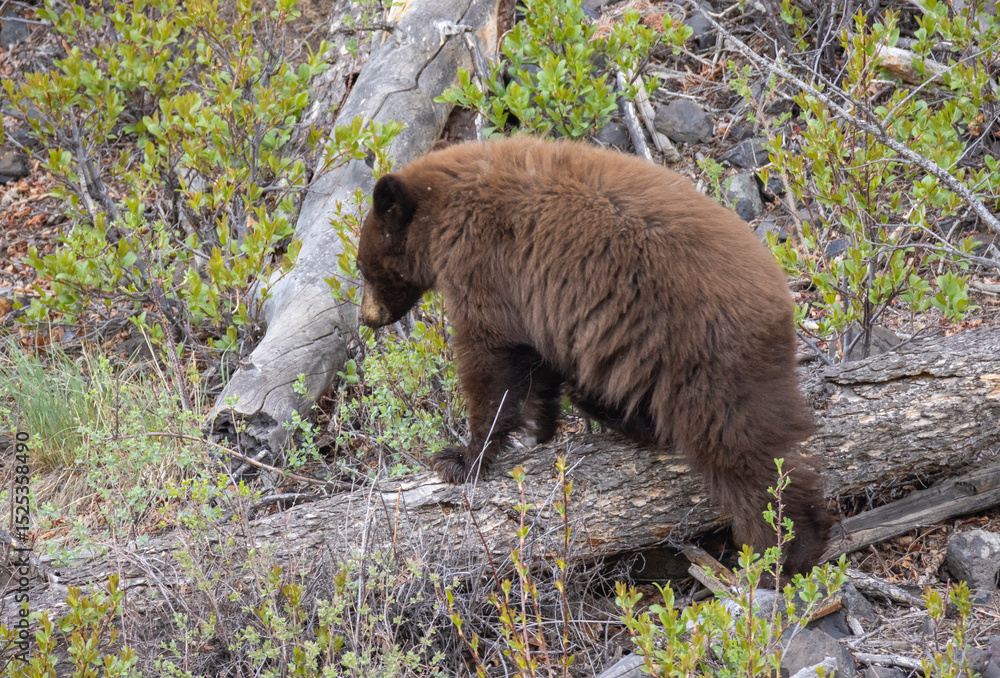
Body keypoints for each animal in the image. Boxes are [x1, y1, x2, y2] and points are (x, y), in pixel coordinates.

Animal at [355, 136, 832, 574]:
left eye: (362, 268)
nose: (366, 319)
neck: (443, 208)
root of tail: (783, 299)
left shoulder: (482, 264)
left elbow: (491, 362)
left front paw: (461, 458)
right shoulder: (532, 299)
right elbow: (533, 362)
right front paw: (540, 429)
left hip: (703, 355)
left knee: (741, 449)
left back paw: (784, 551)